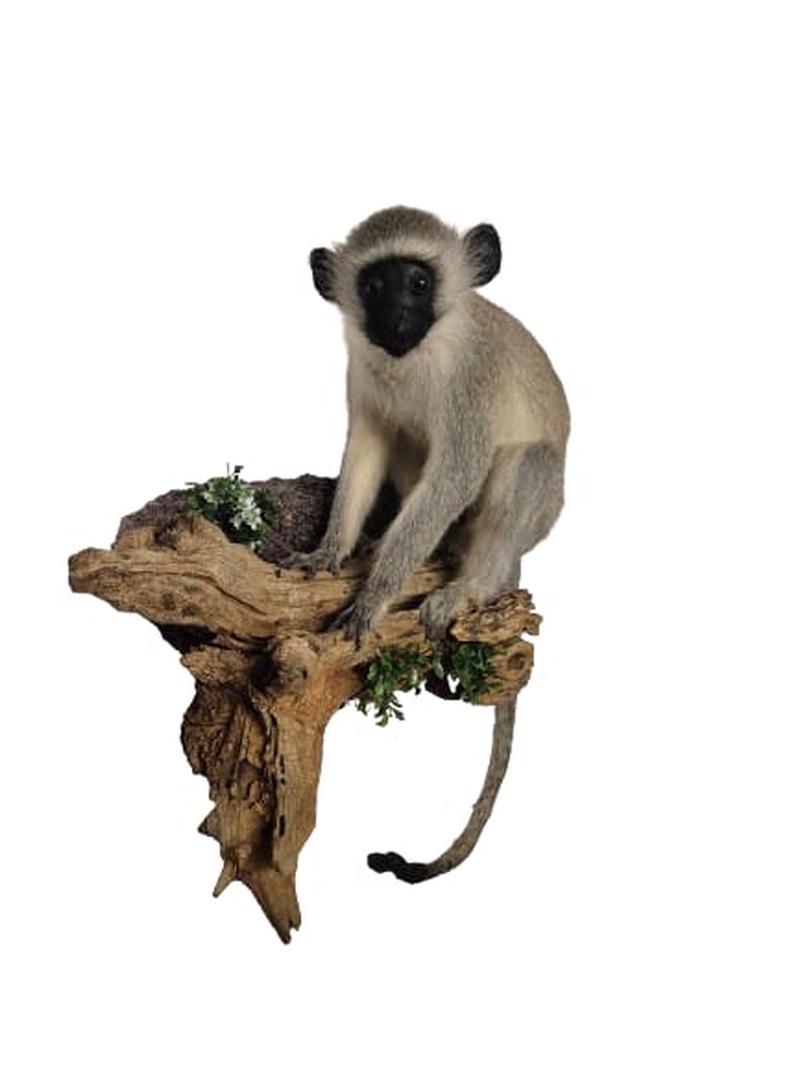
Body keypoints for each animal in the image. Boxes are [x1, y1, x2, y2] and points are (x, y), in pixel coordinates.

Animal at [285, 206, 569, 883]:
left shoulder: (470, 385)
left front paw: (375, 594)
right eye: (374, 285)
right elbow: (367, 448)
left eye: (417, 283)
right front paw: (331, 553)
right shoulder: (361, 375)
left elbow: (455, 475)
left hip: (534, 515)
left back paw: (468, 585)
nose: (396, 319)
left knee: (528, 464)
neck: (412, 358)